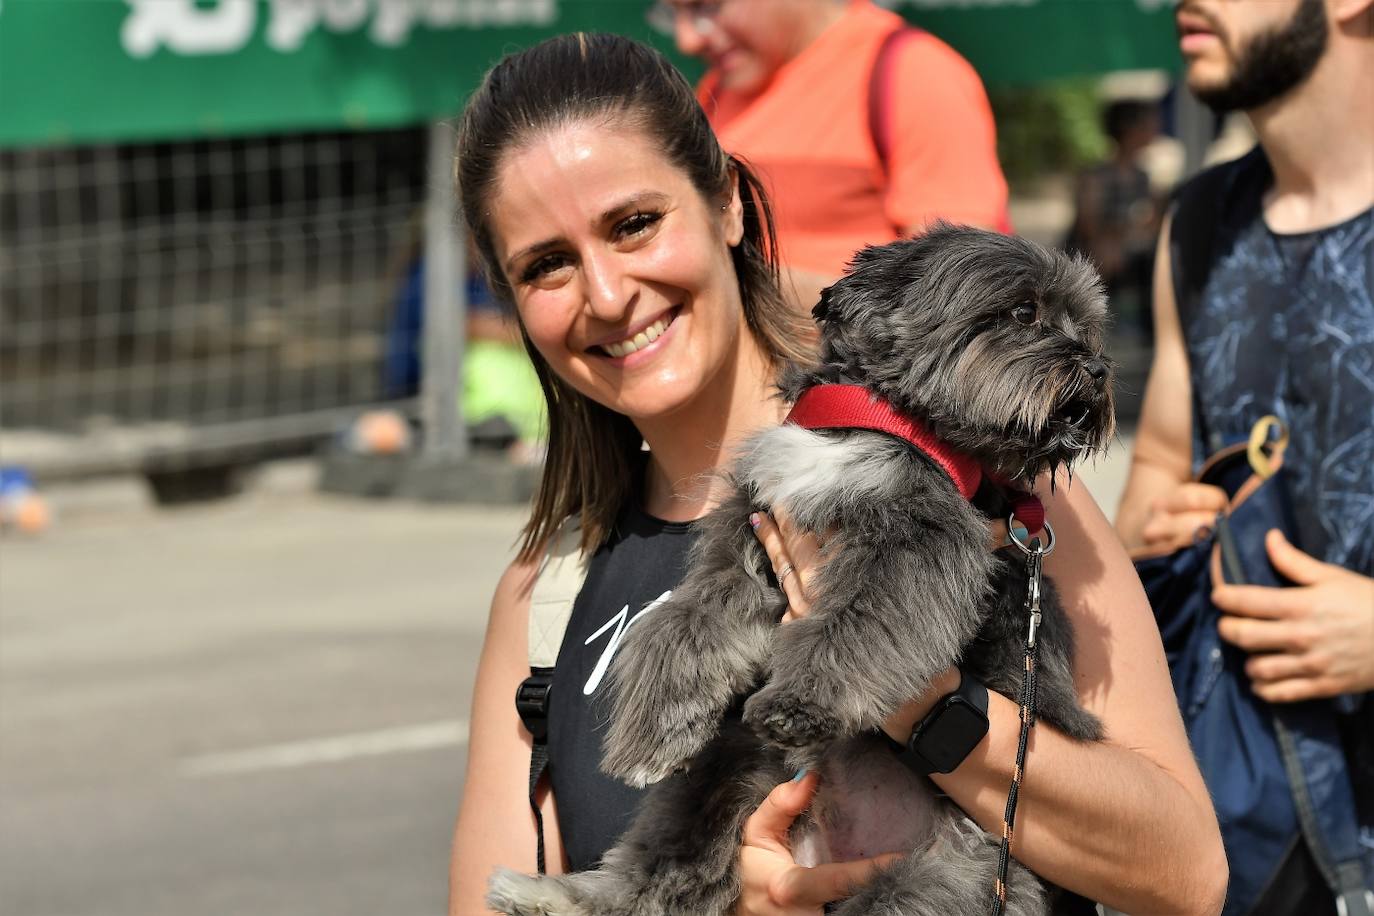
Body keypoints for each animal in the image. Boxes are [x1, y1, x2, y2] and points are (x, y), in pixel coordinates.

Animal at [494, 223, 1115, 916]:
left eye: (1087, 328)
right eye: (1023, 312)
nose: (1097, 370)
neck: (874, 421)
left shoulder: (913, 548)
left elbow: (856, 625)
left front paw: (801, 702)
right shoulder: (748, 536)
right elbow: (681, 625)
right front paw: (655, 725)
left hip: (947, 879)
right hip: (725, 769)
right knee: (670, 865)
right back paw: (556, 896)